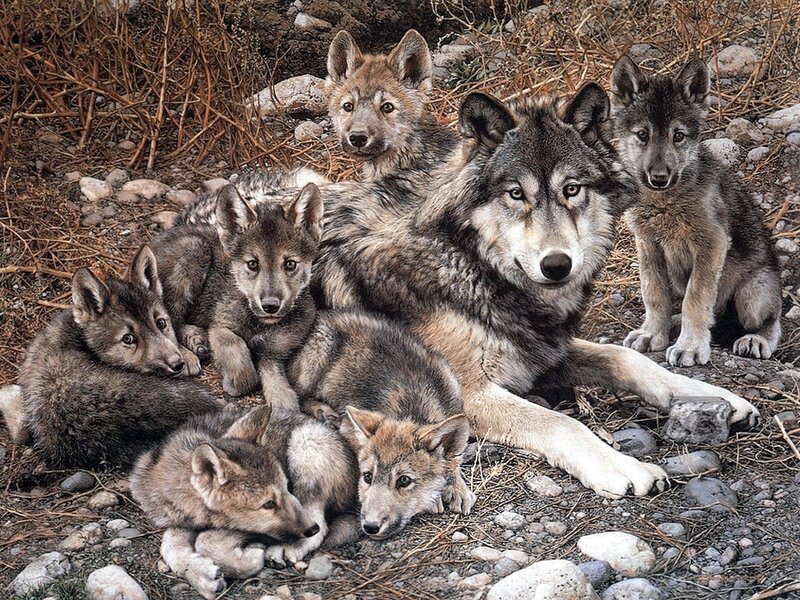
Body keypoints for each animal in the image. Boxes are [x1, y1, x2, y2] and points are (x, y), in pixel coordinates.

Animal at [131, 404, 357, 599]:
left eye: (287, 487)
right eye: (268, 504)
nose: (311, 529)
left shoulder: (246, 527)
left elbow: (205, 540)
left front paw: (247, 560)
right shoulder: (180, 521)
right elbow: (169, 547)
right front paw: (200, 575)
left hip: (306, 443)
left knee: (323, 524)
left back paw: (289, 546)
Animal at [151, 182, 323, 404]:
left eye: (290, 264)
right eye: (252, 264)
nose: (270, 306)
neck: (259, 324)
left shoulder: (273, 353)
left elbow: (281, 389)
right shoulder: (220, 328)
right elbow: (241, 361)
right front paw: (233, 383)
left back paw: (197, 340)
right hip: (194, 251)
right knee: (169, 317)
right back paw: (188, 354)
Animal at [288, 309, 473, 539]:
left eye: (404, 481)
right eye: (367, 476)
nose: (370, 526)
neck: (415, 403)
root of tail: (323, 314)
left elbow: (453, 460)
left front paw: (458, 488)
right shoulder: (348, 427)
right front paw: (437, 498)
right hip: (317, 357)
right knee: (299, 394)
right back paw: (323, 412)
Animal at [610, 56, 782, 366]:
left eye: (678, 136)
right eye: (642, 135)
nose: (659, 178)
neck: (665, 202)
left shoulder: (712, 244)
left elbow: (696, 299)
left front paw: (690, 346)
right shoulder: (648, 244)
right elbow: (654, 294)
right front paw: (652, 334)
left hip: (753, 296)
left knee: (771, 322)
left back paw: (755, 339)